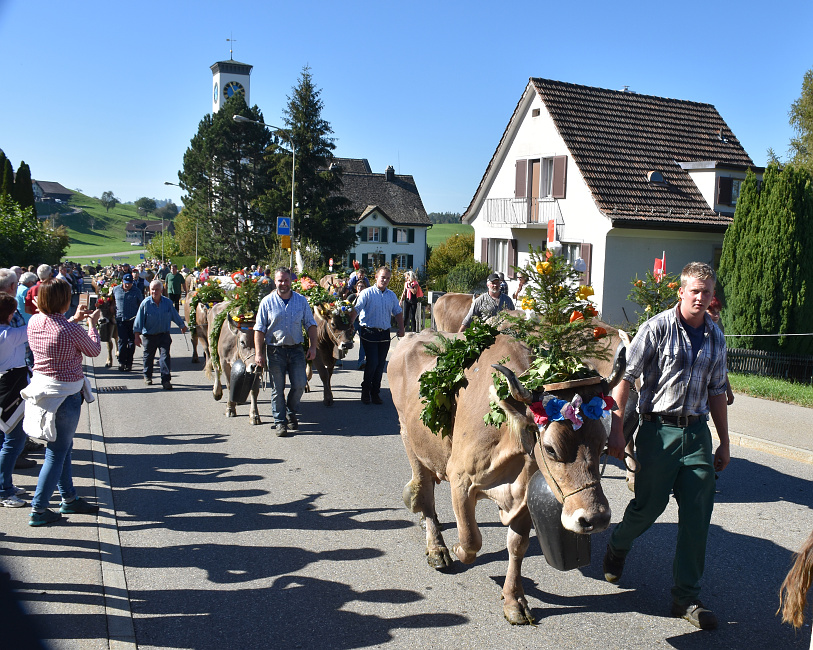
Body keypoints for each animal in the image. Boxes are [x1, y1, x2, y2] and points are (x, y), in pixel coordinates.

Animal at [390, 332, 620, 620]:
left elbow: (517, 546)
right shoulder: (460, 480)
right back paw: (437, 547)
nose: (595, 518)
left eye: (603, 445)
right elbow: (471, 539)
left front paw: (514, 600)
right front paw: (456, 549)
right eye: (550, 448)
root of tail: (411, 335)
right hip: (409, 439)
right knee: (425, 494)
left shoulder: (522, 496)